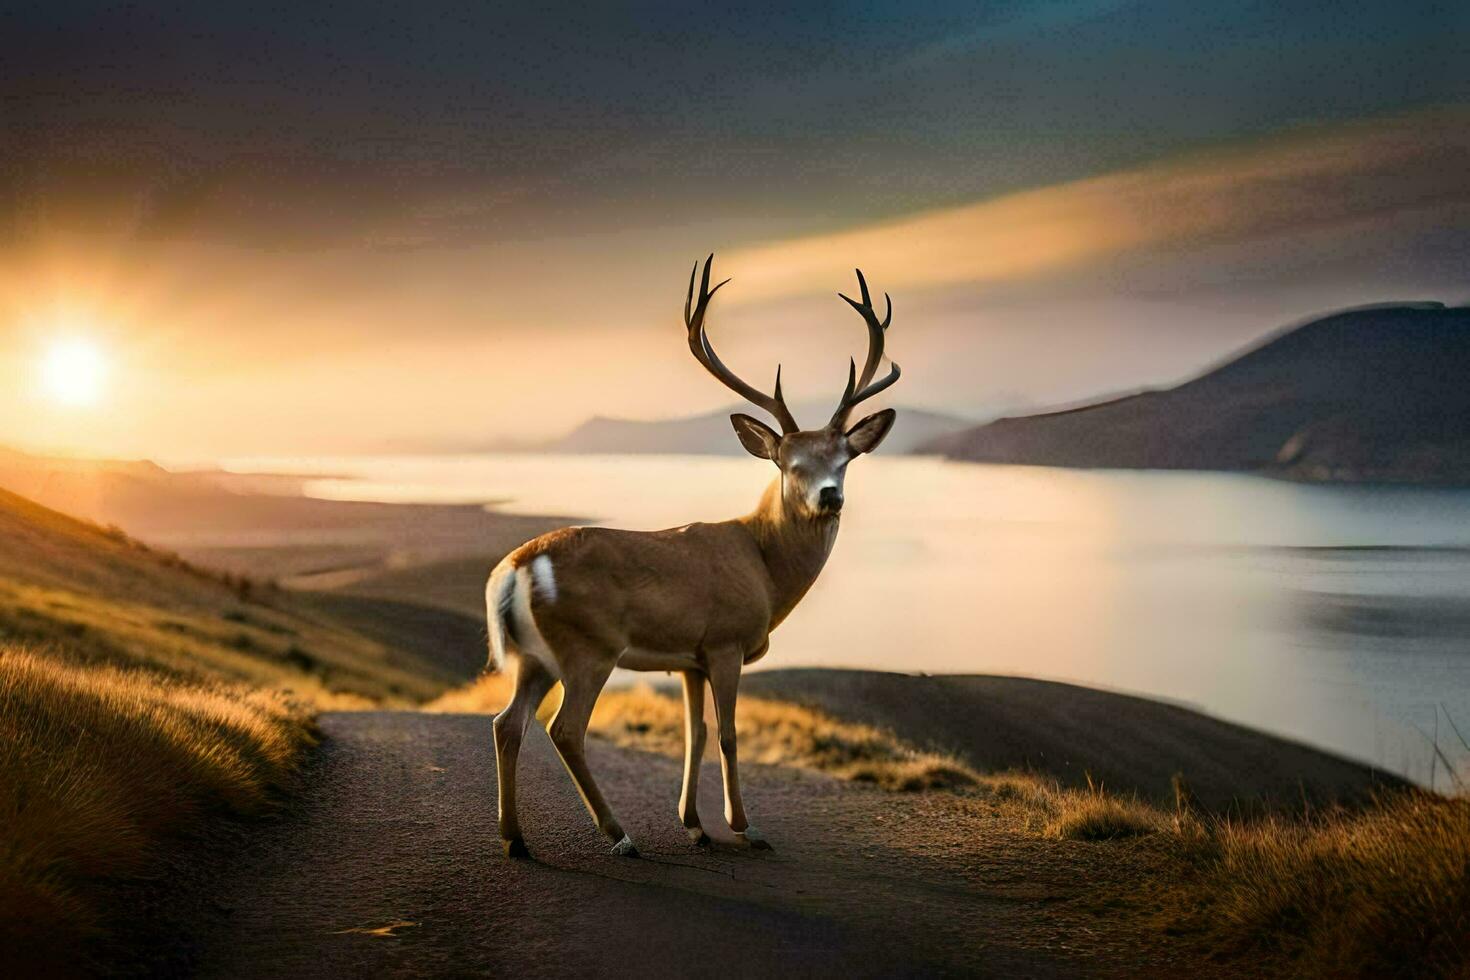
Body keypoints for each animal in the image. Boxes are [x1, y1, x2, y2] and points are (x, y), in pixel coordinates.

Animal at [488, 255, 893, 858]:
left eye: (844, 460)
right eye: (790, 463)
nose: (829, 496)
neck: (767, 570)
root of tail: (516, 569)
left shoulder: (689, 659)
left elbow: (694, 733)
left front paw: (695, 824)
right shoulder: (725, 642)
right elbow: (726, 734)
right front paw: (745, 827)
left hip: (533, 657)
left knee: (506, 723)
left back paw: (516, 839)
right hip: (589, 645)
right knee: (565, 729)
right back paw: (619, 835)